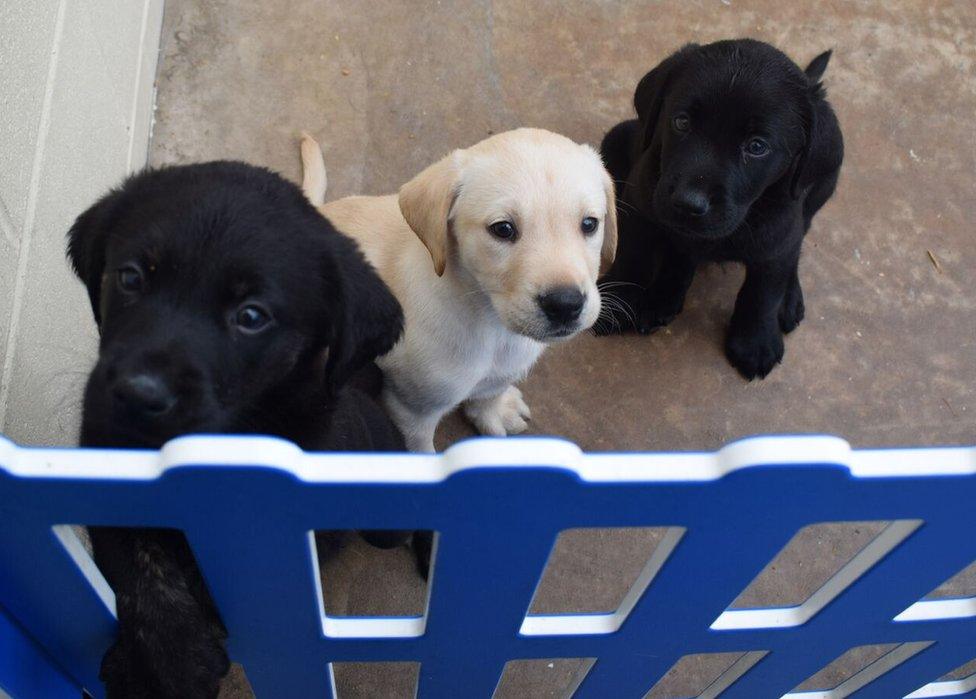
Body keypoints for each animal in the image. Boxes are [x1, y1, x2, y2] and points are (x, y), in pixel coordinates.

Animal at [67, 160, 412, 699]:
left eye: (252, 316)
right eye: (130, 277)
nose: (138, 395)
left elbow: (226, 580)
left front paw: (174, 662)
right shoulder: (102, 465)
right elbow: (133, 558)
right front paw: (164, 655)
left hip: (386, 523)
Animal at [302, 128, 612, 452]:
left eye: (589, 224)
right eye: (503, 229)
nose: (565, 304)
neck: (492, 326)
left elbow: (492, 392)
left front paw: (493, 412)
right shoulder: (412, 411)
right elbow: (422, 449)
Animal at [600, 41, 844, 380]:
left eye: (757, 146)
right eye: (681, 122)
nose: (688, 203)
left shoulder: (778, 235)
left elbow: (764, 292)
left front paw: (755, 343)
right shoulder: (641, 204)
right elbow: (631, 259)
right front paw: (615, 304)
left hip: (823, 185)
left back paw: (789, 299)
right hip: (617, 141)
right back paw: (662, 296)